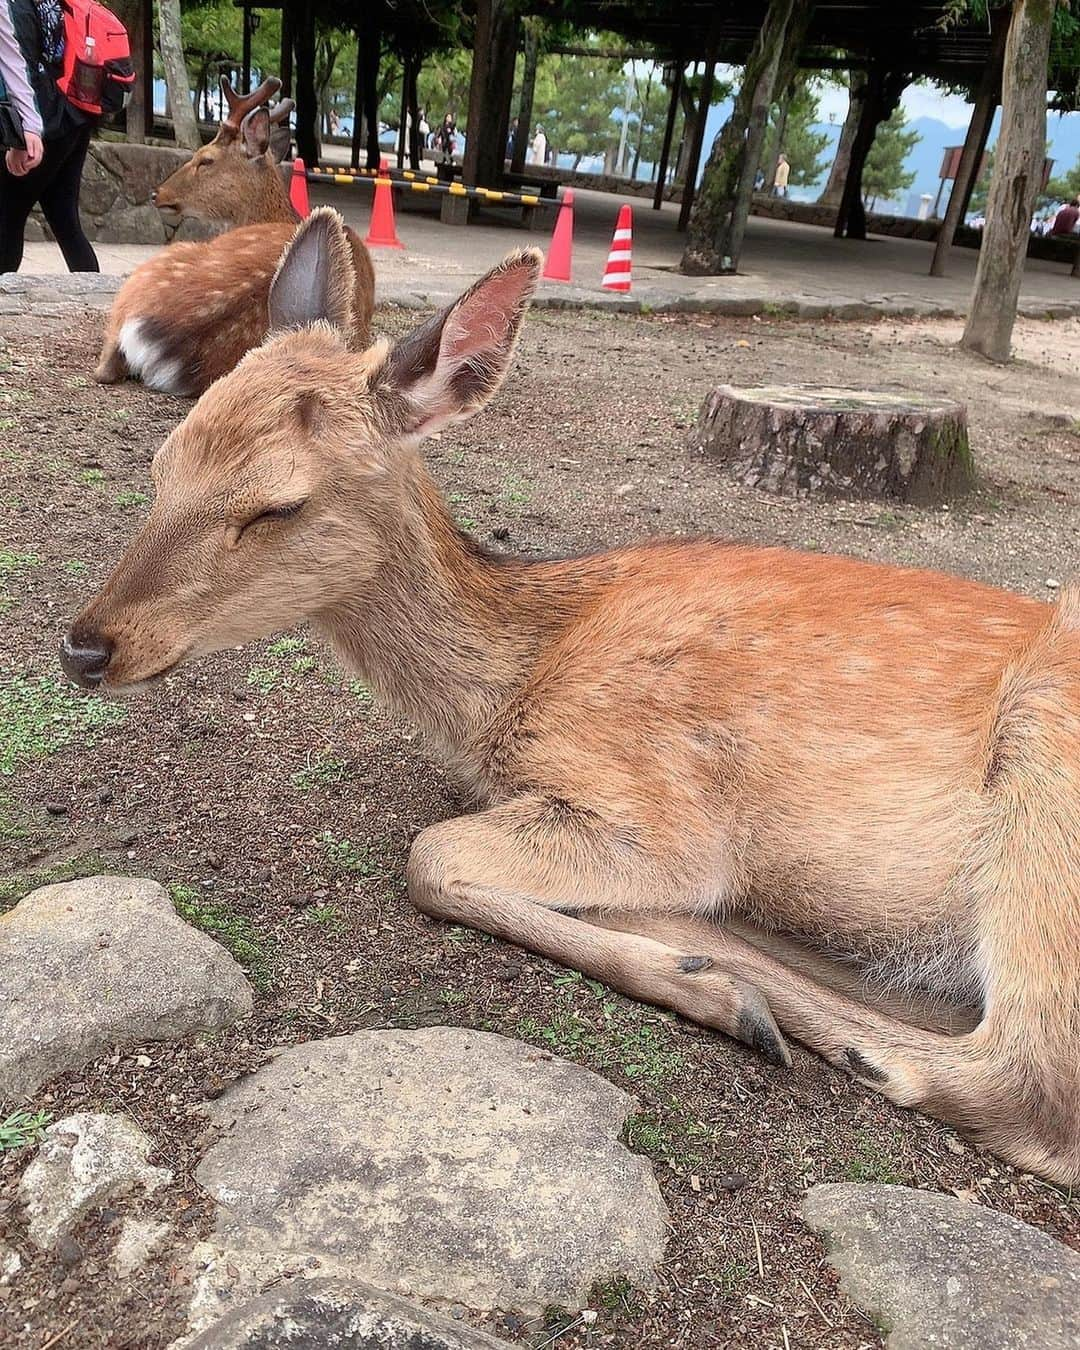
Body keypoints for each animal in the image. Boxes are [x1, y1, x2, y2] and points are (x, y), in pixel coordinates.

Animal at [63, 207, 1080, 1182]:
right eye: (162, 462)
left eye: (277, 505)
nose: (83, 645)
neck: (517, 679)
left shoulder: (655, 800)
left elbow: (430, 854)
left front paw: (714, 978)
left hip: (1045, 771)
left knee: (1023, 1086)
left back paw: (747, 988)